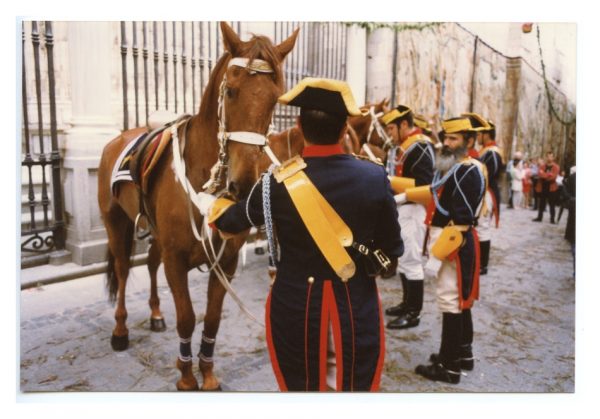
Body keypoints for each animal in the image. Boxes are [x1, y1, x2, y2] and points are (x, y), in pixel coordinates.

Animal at [96, 22, 298, 390]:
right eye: (230, 91)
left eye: (275, 98)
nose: (243, 183)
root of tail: (118, 138)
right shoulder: (176, 261)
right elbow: (188, 318)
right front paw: (187, 376)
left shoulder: (226, 262)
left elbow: (213, 319)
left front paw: (208, 372)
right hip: (116, 222)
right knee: (122, 270)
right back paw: (120, 330)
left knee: (150, 263)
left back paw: (156, 314)